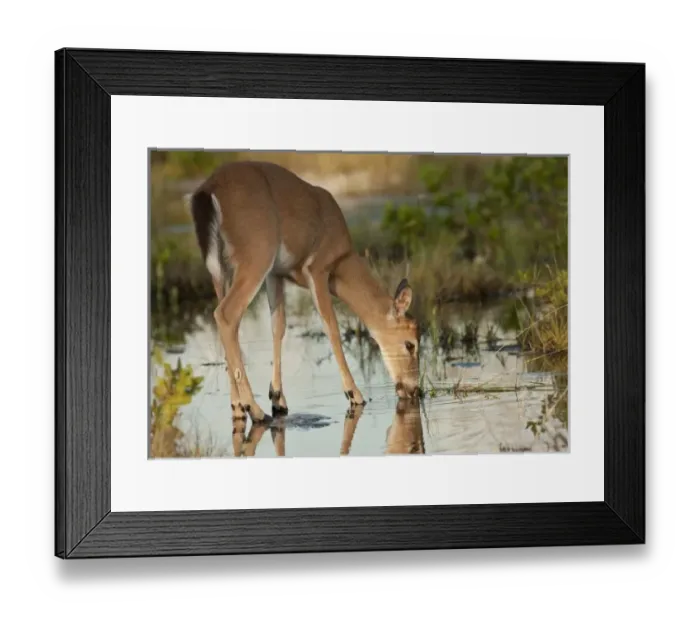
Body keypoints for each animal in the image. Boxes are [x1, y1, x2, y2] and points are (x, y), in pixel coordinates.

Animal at [188, 160, 421, 423]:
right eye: (410, 344)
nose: (413, 390)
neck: (342, 258)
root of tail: (208, 190)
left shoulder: (275, 275)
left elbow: (278, 327)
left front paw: (278, 398)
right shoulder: (317, 269)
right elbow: (331, 326)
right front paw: (355, 394)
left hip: (220, 271)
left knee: (225, 320)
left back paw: (238, 406)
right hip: (256, 257)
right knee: (226, 314)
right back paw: (255, 410)